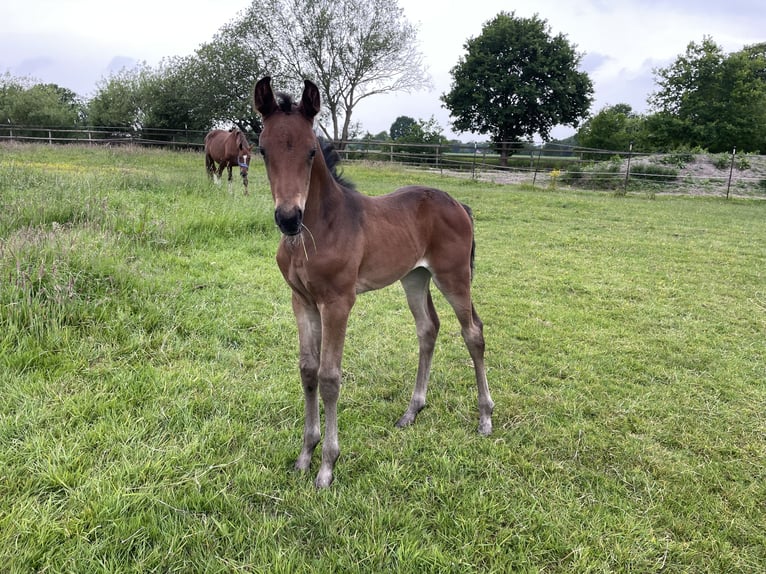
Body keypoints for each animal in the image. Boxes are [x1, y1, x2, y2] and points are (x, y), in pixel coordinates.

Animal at [253, 76, 494, 488]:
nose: (288, 218)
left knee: (473, 332)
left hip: (454, 276)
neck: (318, 230)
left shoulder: (338, 301)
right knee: (428, 328)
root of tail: (458, 204)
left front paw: (327, 466)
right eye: (263, 150)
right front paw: (304, 455)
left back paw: (485, 418)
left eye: (311, 152)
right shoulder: (301, 300)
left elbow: (330, 376)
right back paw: (412, 411)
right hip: (415, 277)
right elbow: (307, 370)